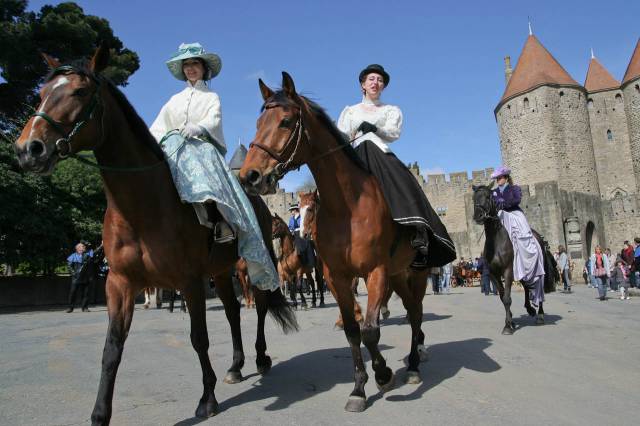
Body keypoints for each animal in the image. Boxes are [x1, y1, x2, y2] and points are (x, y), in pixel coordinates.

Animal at [12, 46, 298, 422]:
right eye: (43, 93)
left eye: (80, 92)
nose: (28, 149)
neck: (141, 208)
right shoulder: (119, 283)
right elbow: (112, 347)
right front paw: (100, 414)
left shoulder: (189, 281)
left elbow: (198, 338)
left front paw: (207, 399)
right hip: (222, 272)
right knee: (234, 312)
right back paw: (236, 366)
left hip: (253, 261)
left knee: (261, 306)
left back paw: (261, 358)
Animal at [240, 73, 430, 412]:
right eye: (259, 120)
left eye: (285, 121)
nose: (249, 176)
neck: (348, 207)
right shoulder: (336, 276)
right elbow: (354, 332)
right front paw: (359, 388)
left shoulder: (375, 271)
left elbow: (370, 331)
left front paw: (383, 375)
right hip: (398, 274)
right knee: (411, 310)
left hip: (416, 272)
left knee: (417, 311)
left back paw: (414, 365)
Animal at [470, 185, 556, 334]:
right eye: (473, 198)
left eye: (488, 196)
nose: (478, 216)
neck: (496, 241)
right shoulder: (494, 274)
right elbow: (502, 296)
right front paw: (510, 321)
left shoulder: (508, 271)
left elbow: (507, 298)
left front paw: (508, 326)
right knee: (527, 286)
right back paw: (530, 309)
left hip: (537, 270)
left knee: (538, 288)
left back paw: (539, 314)